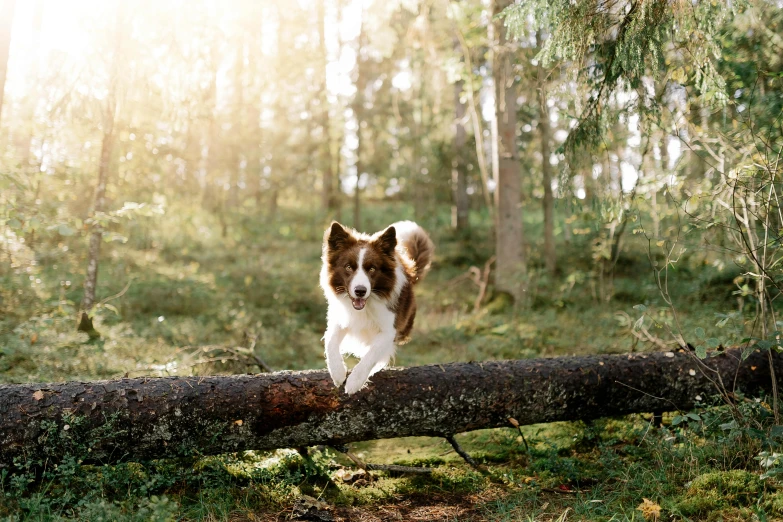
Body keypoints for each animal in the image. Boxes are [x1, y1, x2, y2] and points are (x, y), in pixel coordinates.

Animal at [318, 219, 434, 394]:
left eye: (372, 269)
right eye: (348, 267)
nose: (360, 291)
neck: (365, 306)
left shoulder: (389, 329)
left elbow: (372, 354)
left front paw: (354, 382)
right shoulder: (340, 318)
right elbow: (330, 341)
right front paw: (338, 373)